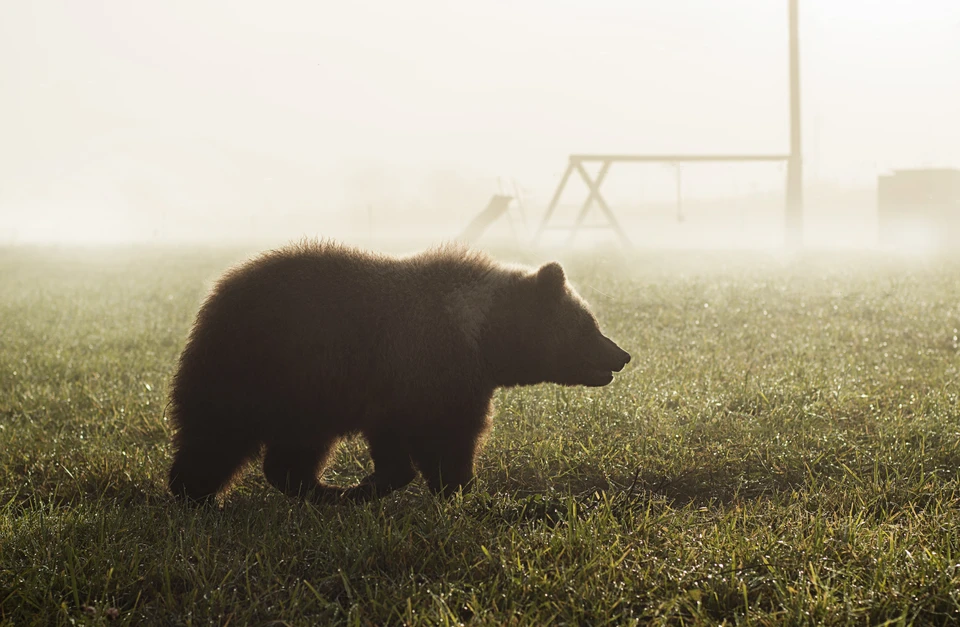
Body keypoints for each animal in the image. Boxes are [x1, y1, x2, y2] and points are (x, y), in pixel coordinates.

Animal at [167, 240, 630, 504]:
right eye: (589, 324)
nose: (621, 354)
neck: (484, 337)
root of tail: (217, 295)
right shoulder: (432, 368)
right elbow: (447, 437)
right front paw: (459, 487)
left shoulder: (394, 387)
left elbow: (395, 443)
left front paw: (377, 482)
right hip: (266, 371)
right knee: (218, 437)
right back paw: (197, 495)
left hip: (299, 392)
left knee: (283, 452)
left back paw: (321, 491)